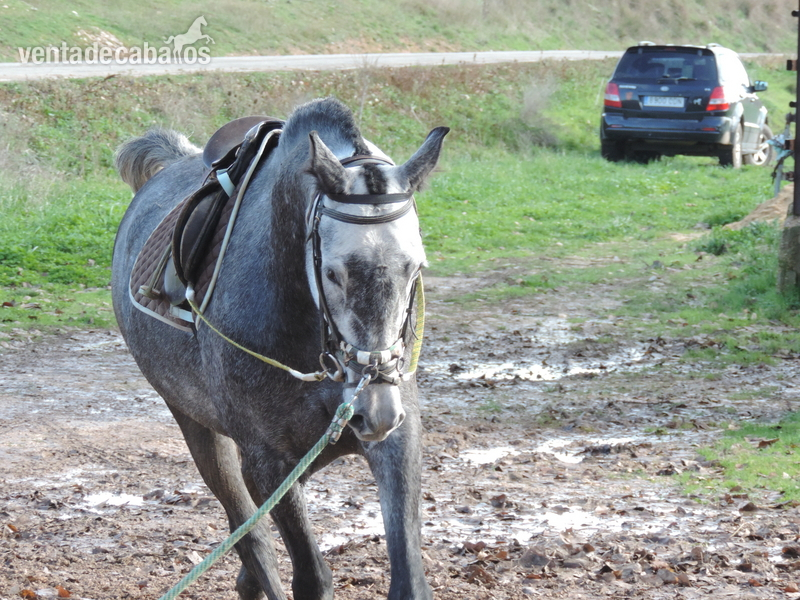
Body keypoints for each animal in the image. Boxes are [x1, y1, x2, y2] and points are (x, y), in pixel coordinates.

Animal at [111, 97, 448, 600]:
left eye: (415, 268)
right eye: (333, 273)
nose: (373, 409)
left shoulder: (397, 441)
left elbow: (408, 579)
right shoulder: (266, 462)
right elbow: (308, 575)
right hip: (196, 426)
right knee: (252, 540)